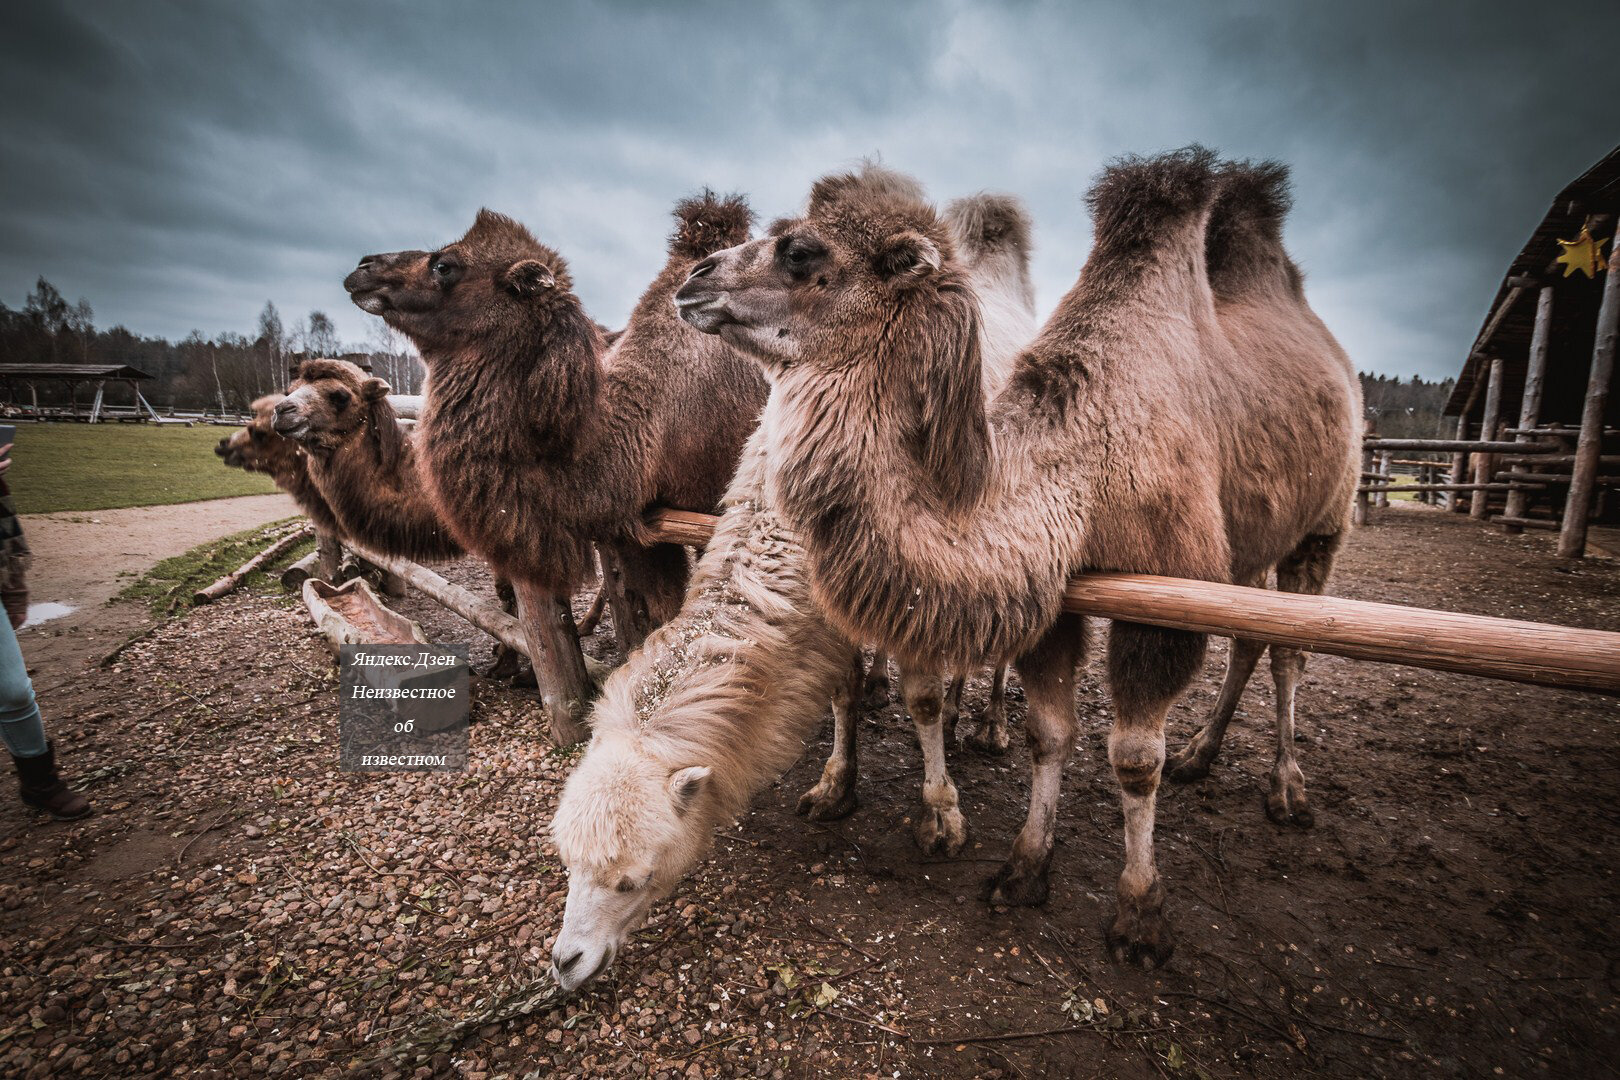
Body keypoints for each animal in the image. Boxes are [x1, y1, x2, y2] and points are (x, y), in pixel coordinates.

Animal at [550, 177, 1036, 997]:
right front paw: (836, 782)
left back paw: (989, 721)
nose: (566, 964)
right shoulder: (829, 612)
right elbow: (837, 689)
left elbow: (924, 699)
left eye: (632, 878)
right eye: (565, 863)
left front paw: (940, 814)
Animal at [677, 148, 1360, 965]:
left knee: (1291, 649)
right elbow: (1050, 734)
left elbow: (1134, 756)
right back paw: (1202, 752)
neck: (1082, 469)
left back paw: (1286, 789)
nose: (692, 278)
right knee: (1254, 637)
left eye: (802, 250)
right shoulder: (1062, 598)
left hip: (1325, 521)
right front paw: (1024, 867)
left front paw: (1139, 913)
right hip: (1251, 546)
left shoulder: (1165, 602)